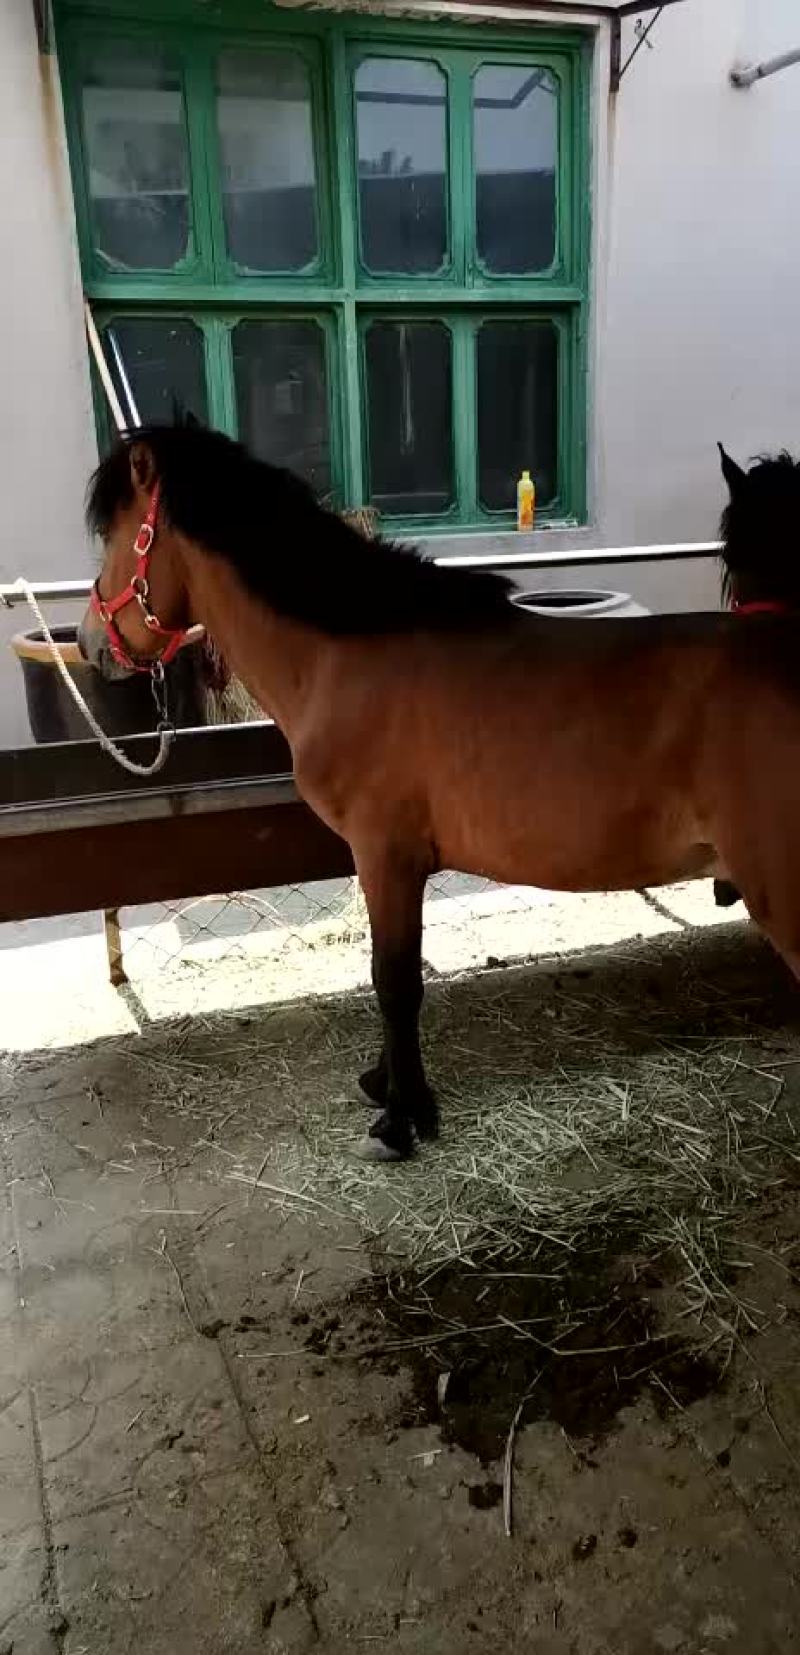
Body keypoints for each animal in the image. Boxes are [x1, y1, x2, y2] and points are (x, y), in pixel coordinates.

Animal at [78, 427, 800, 1161]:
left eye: (115, 533)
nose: (89, 642)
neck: (347, 656)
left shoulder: (386, 855)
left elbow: (394, 981)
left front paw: (400, 1118)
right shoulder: (389, 863)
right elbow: (391, 972)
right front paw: (386, 1084)